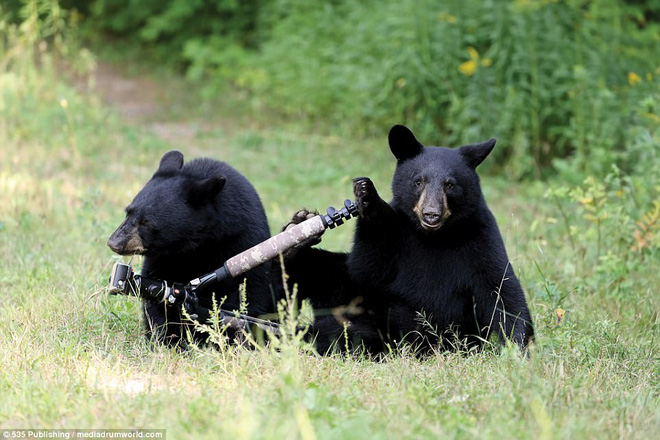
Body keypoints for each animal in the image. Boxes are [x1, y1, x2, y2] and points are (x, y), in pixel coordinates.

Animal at [106, 151, 282, 348]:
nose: (114, 242)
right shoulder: (164, 256)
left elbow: (250, 290)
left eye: (146, 222)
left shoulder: (245, 240)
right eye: (128, 212)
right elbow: (156, 291)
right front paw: (165, 339)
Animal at [286, 125, 532, 356]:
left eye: (450, 184)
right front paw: (367, 195)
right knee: (322, 271)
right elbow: (365, 269)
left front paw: (518, 348)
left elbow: (501, 289)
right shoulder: (397, 231)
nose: (431, 214)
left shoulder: (480, 236)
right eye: (418, 182)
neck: (433, 236)